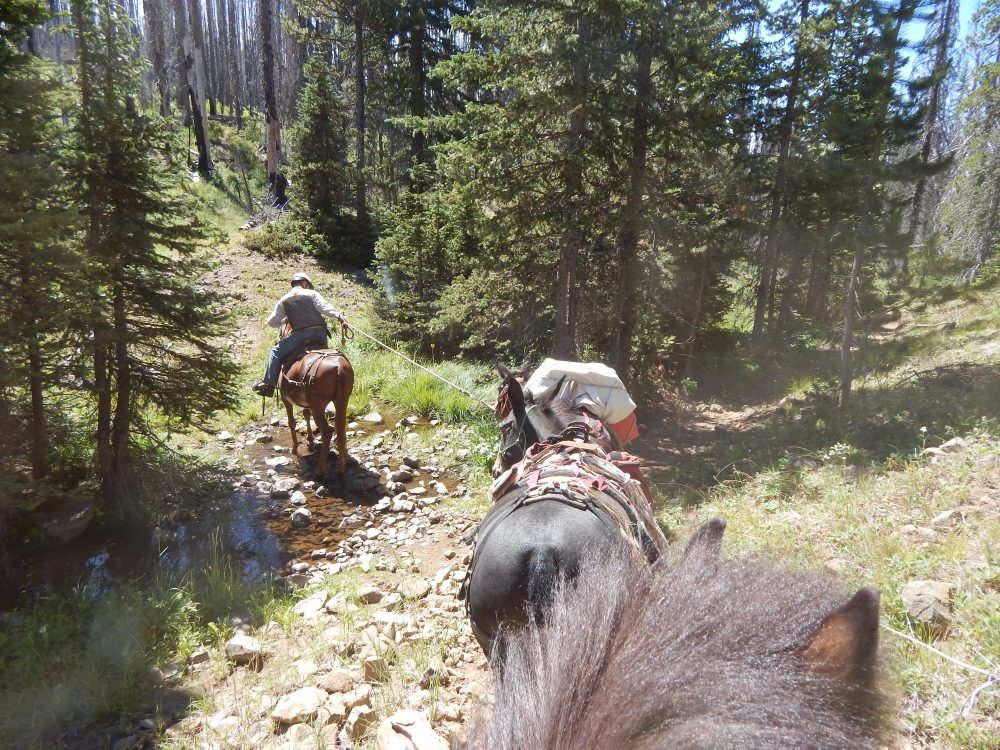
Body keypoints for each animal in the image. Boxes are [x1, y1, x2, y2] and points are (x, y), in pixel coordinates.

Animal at [277, 336, 353, 478]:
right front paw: (310, 438)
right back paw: (341, 468)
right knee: (340, 430)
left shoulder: (286, 400)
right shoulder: (308, 404)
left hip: (318, 407)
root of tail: (338, 367)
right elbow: (306, 414)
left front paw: (294, 448)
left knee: (327, 433)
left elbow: (291, 422)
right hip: (342, 401)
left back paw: (319, 469)